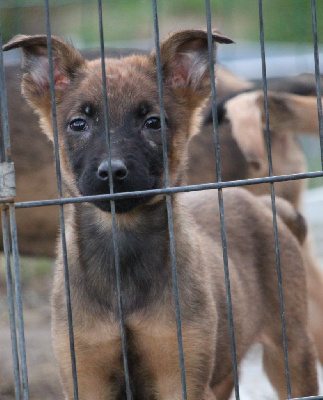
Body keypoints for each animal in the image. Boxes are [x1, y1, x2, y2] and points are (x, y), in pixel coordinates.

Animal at [3, 29, 318, 398]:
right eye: (78, 124)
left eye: (152, 122)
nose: (112, 172)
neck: (121, 253)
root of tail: (264, 204)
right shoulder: (86, 376)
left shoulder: (181, 377)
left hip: (290, 351)